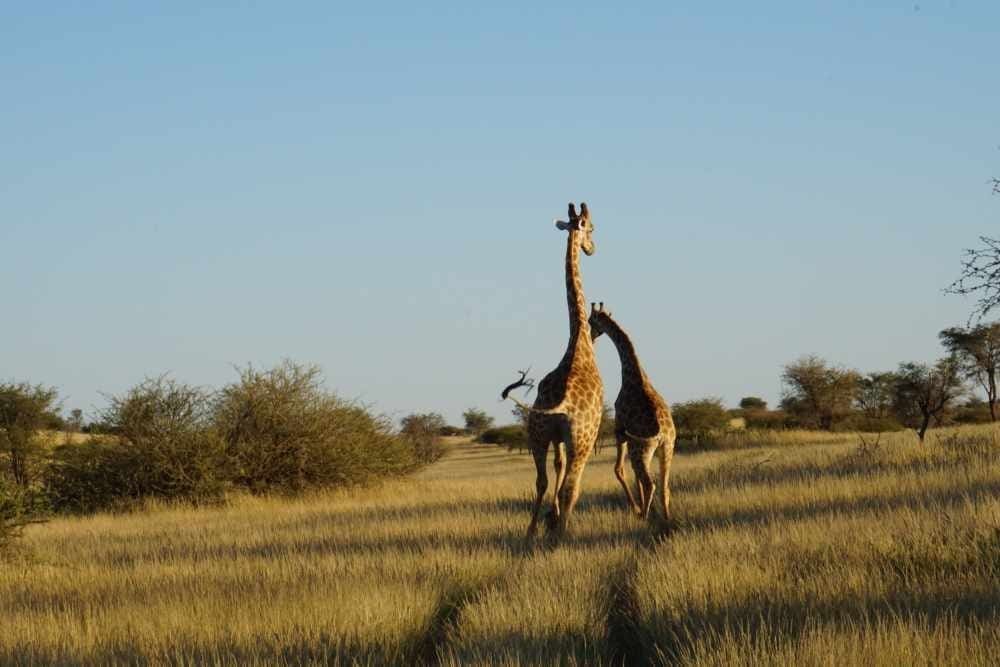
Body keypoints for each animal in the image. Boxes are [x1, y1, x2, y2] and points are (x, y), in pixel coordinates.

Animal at [500, 202, 600, 536]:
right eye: (591, 228)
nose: (592, 248)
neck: (578, 340)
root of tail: (564, 403)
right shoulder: (579, 438)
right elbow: (570, 481)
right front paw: (556, 518)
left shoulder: (554, 437)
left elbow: (555, 470)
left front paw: (550, 516)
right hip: (581, 439)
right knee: (571, 483)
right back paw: (562, 532)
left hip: (537, 433)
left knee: (541, 479)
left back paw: (533, 531)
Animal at [584, 302, 680, 520]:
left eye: (591, 320)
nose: (590, 337)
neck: (632, 372)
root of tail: (663, 434)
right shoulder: (629, 436)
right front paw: (640, 506)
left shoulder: (619, 427)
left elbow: (618, 469)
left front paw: (636, 507)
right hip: (667, 448)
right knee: (664, 486)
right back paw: (666, 518)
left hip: (642, 450)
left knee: (650, 482)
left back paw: (644, 515)